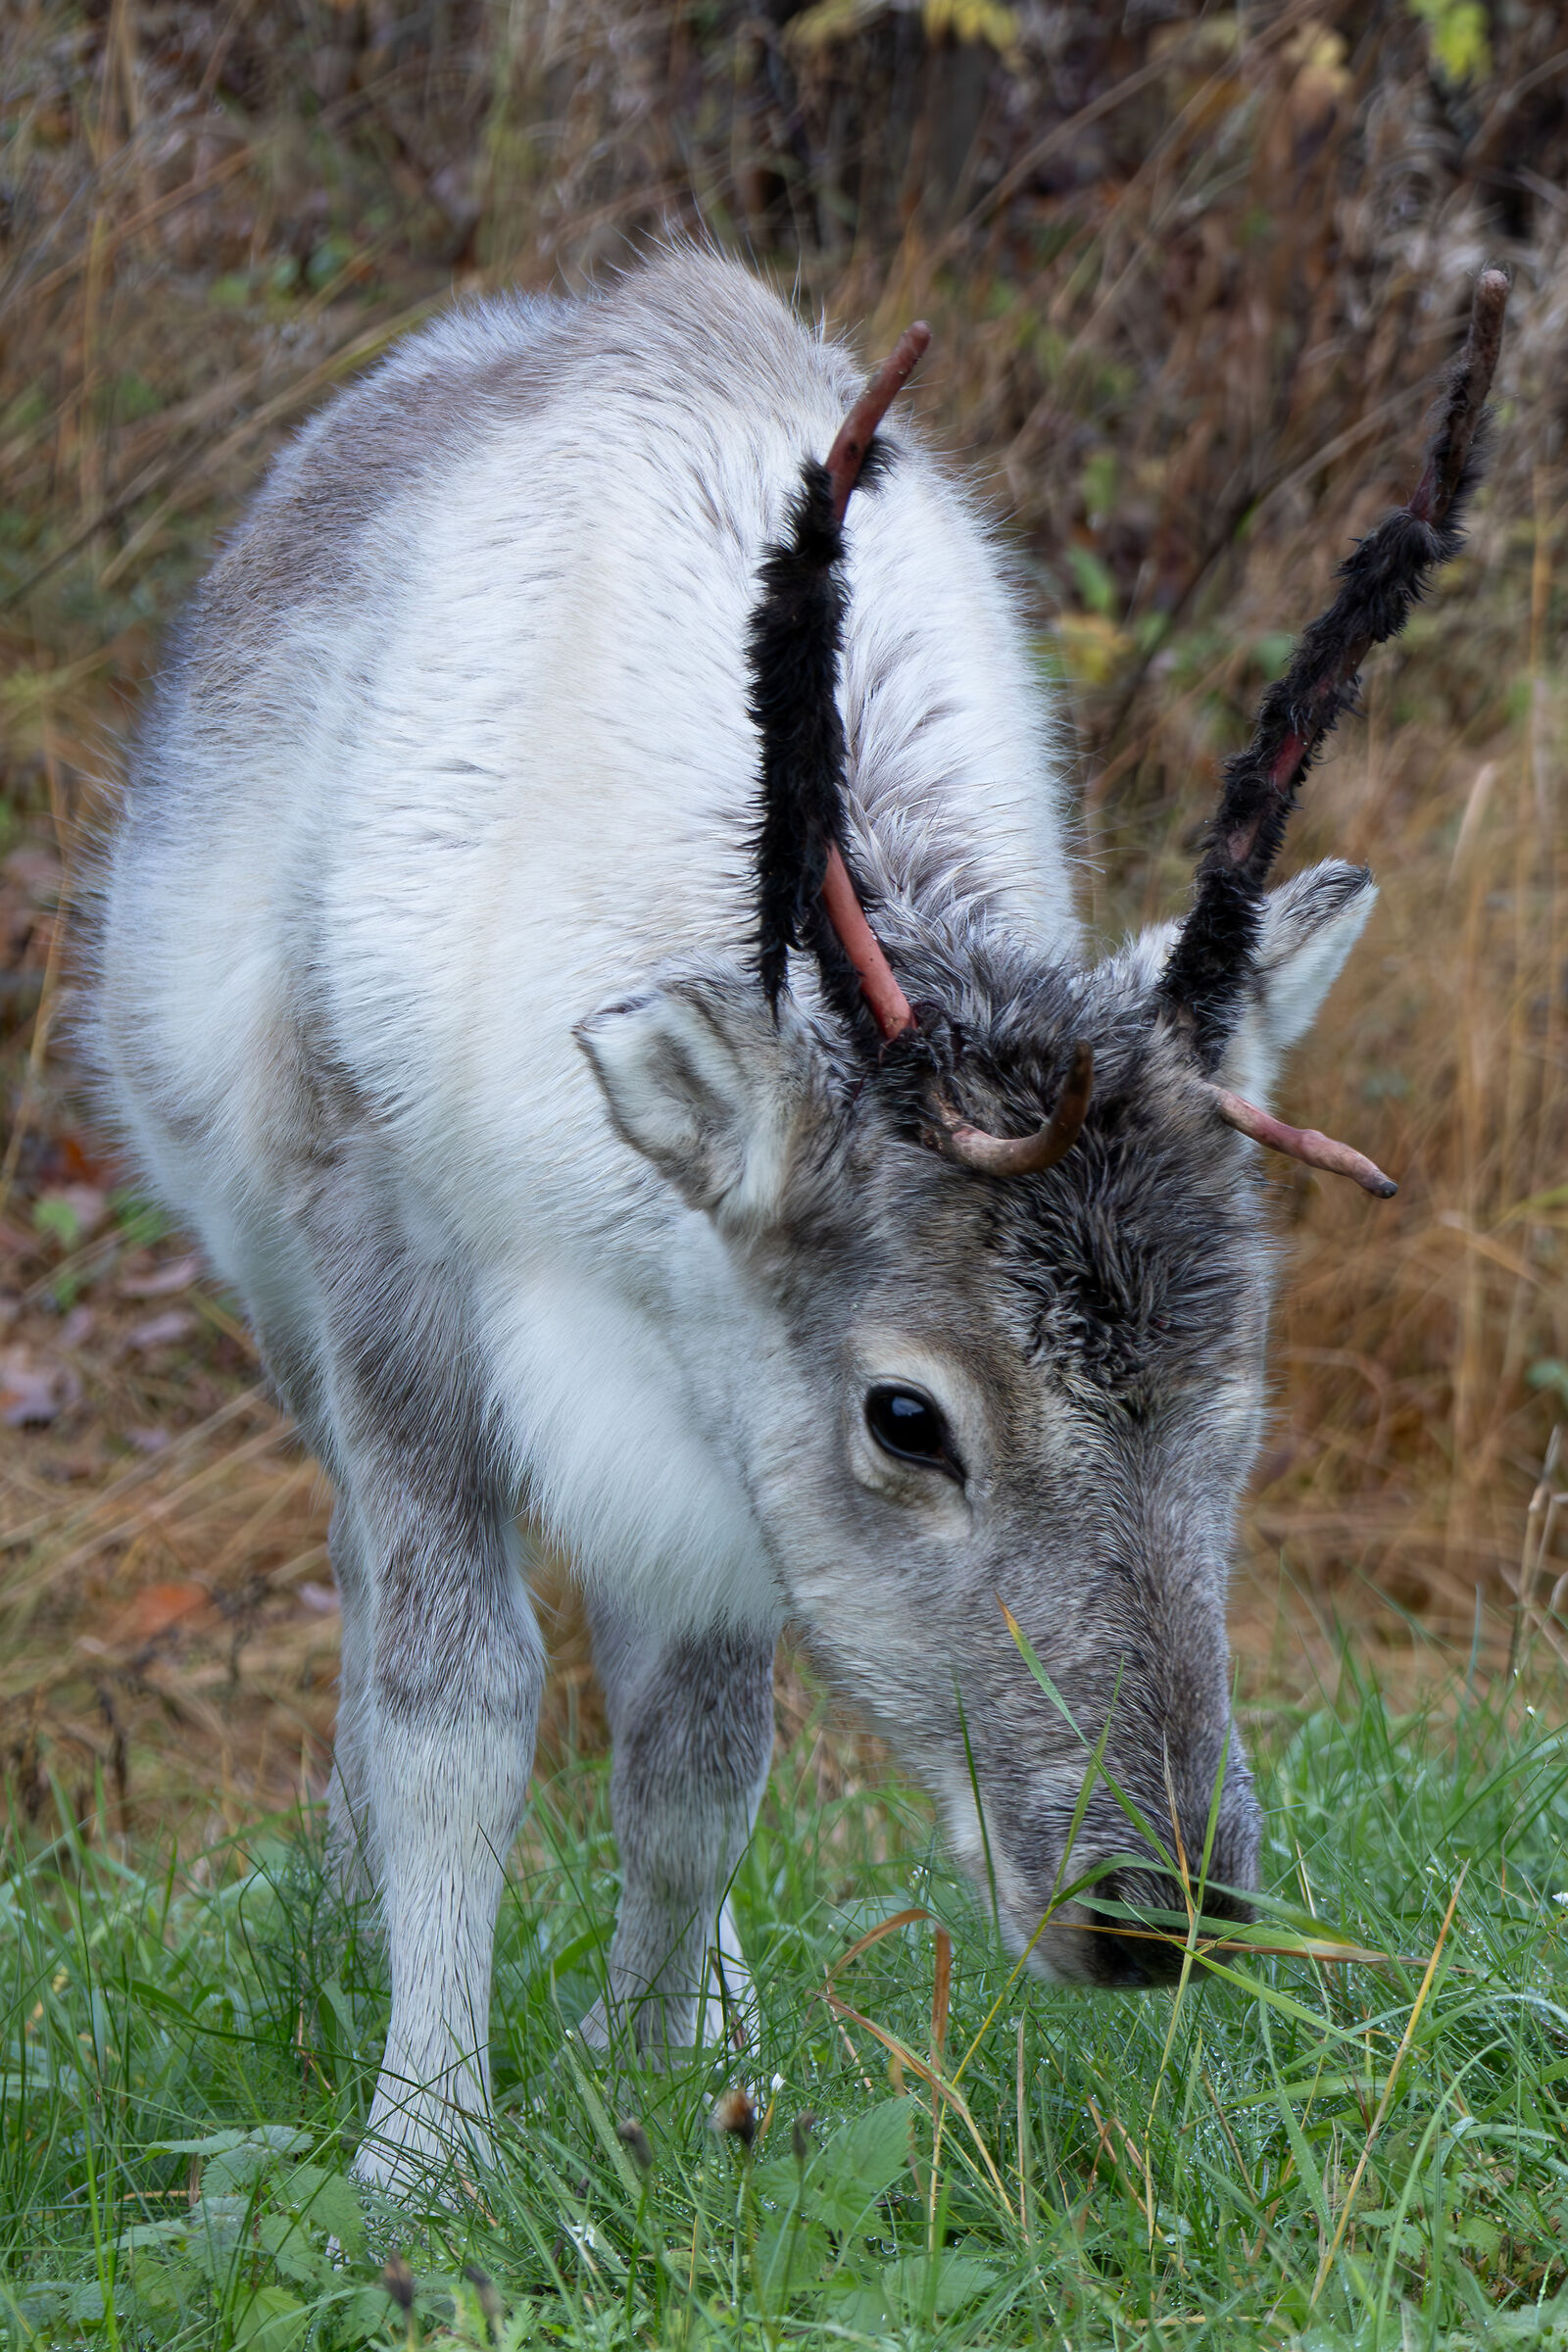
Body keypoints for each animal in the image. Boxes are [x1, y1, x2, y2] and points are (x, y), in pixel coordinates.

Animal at [90, 249, 1506, 2198]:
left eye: (1242, 1397)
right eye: (907, 1417)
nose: (1154, 1915)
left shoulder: (711, 1382)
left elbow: (701, 1753)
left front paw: (664, 2083)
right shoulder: (388, 1259)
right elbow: (457, 1700)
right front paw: (425, 2152)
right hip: (277, 1299)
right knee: (368, 1596)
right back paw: (343, 1924)